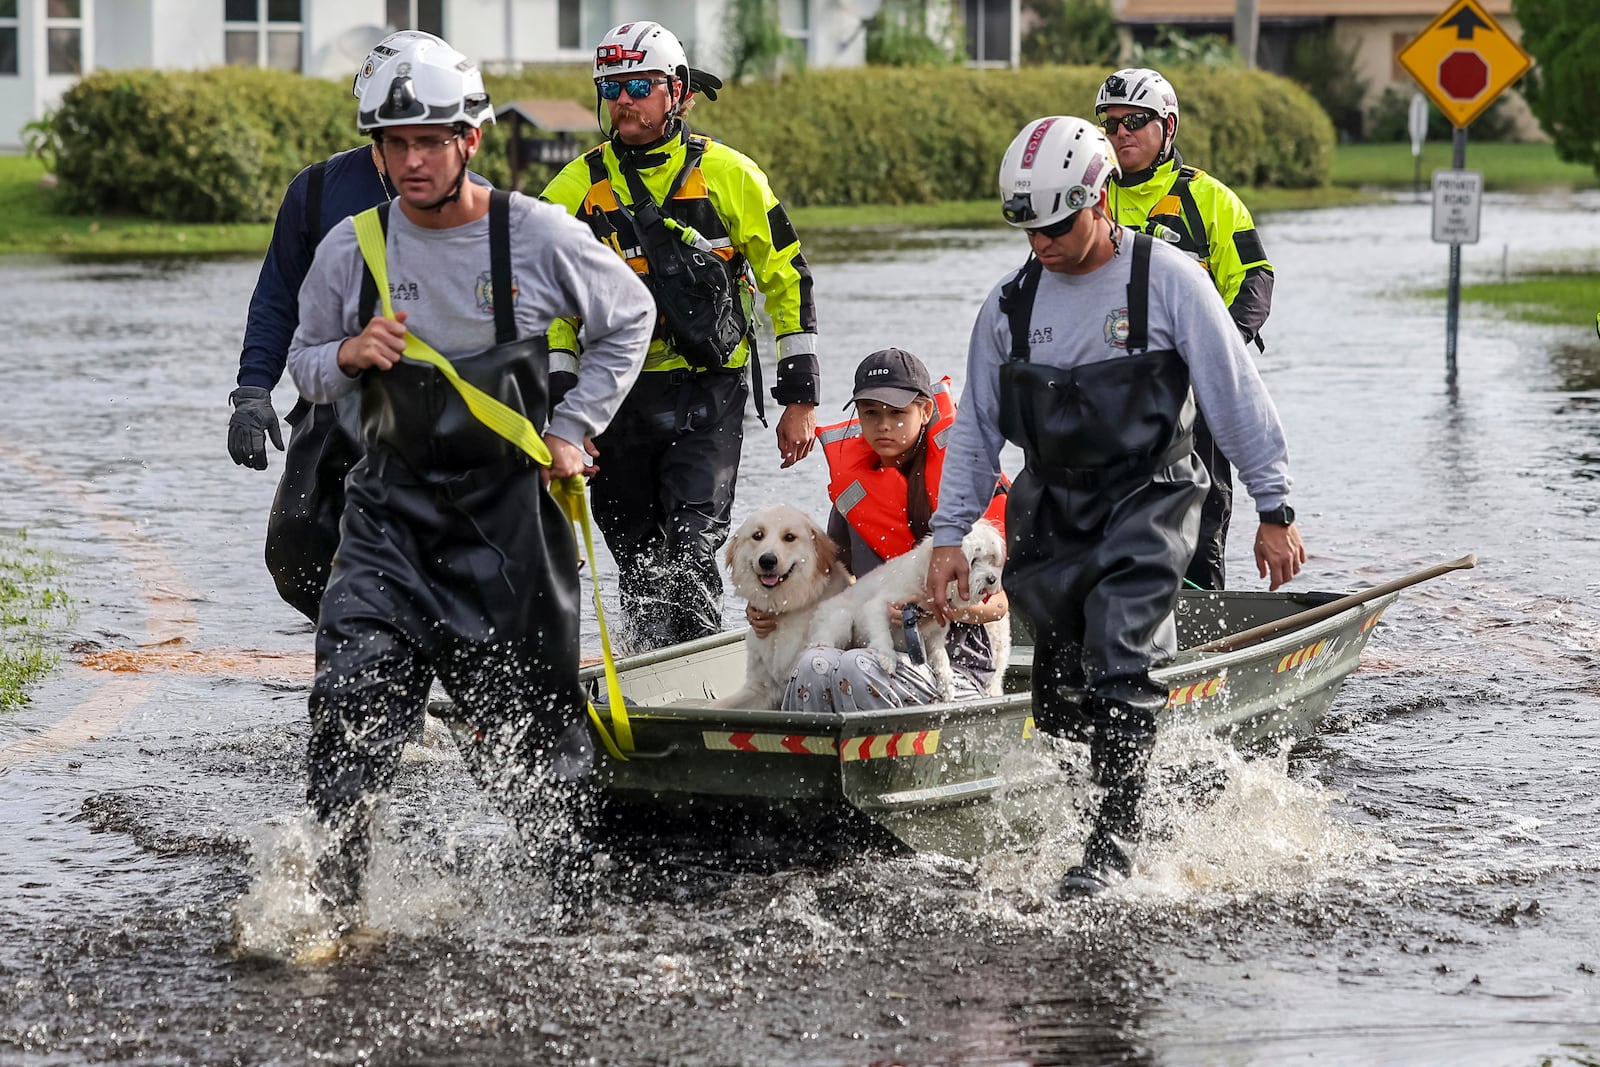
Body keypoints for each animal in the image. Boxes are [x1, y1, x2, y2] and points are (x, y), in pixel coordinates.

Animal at [806, 524, 1004, 703]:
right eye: (973, 560)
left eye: (991, 559)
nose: (992, 579)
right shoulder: (878, 606)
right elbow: (882, 634)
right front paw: (887, 657)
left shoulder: (935, 636)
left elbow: (941, 658)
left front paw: (947, 683)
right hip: (841, 617)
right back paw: (821, 642)